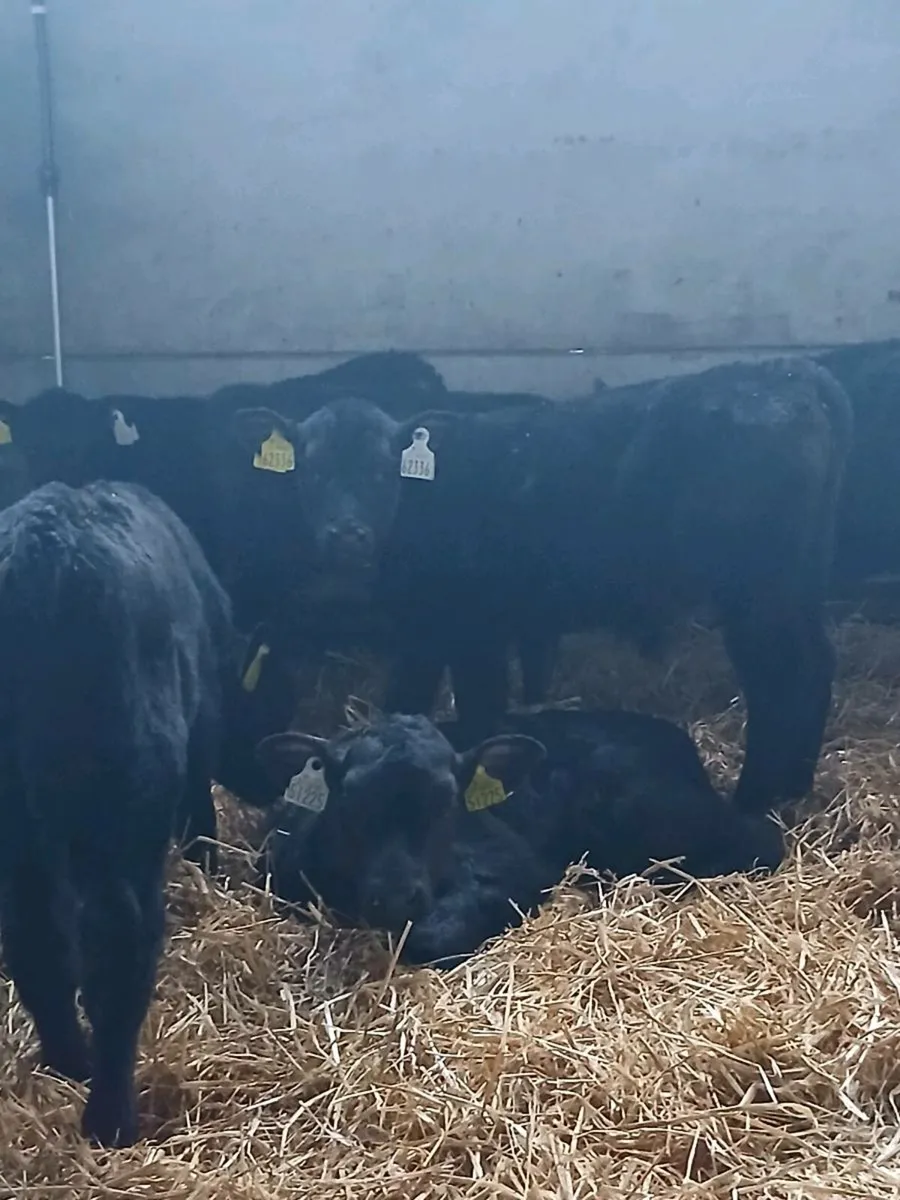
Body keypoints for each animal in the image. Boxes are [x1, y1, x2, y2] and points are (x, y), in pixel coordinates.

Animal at [0, 479, 287, 1146]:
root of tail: (39, 560)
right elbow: (200, 816)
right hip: (117, 808)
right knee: (117, 943)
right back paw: (111, 1114)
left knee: (36, 937)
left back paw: (68, 1061)